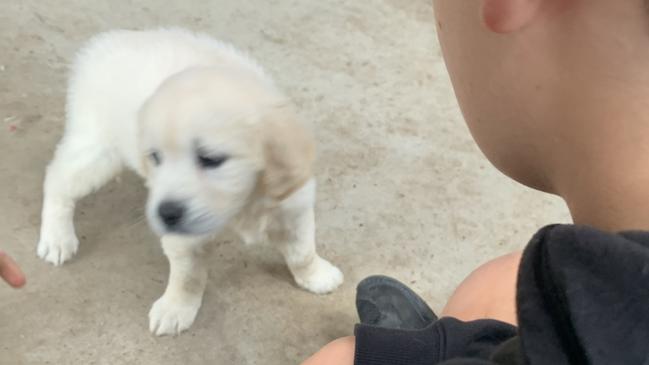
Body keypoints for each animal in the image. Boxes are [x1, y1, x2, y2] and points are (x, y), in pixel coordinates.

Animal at [37, 28, 342, 336]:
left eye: (210, 158)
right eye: (155, 156)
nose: (166, 213)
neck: (243, 201)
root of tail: (103, 43)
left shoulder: (293, 207)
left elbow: (302, 251)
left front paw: (316, 276)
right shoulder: (183, 239)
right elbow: (188, 277)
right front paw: (175, 308)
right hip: (98, 152)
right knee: (57, 178)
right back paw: (57, 238)